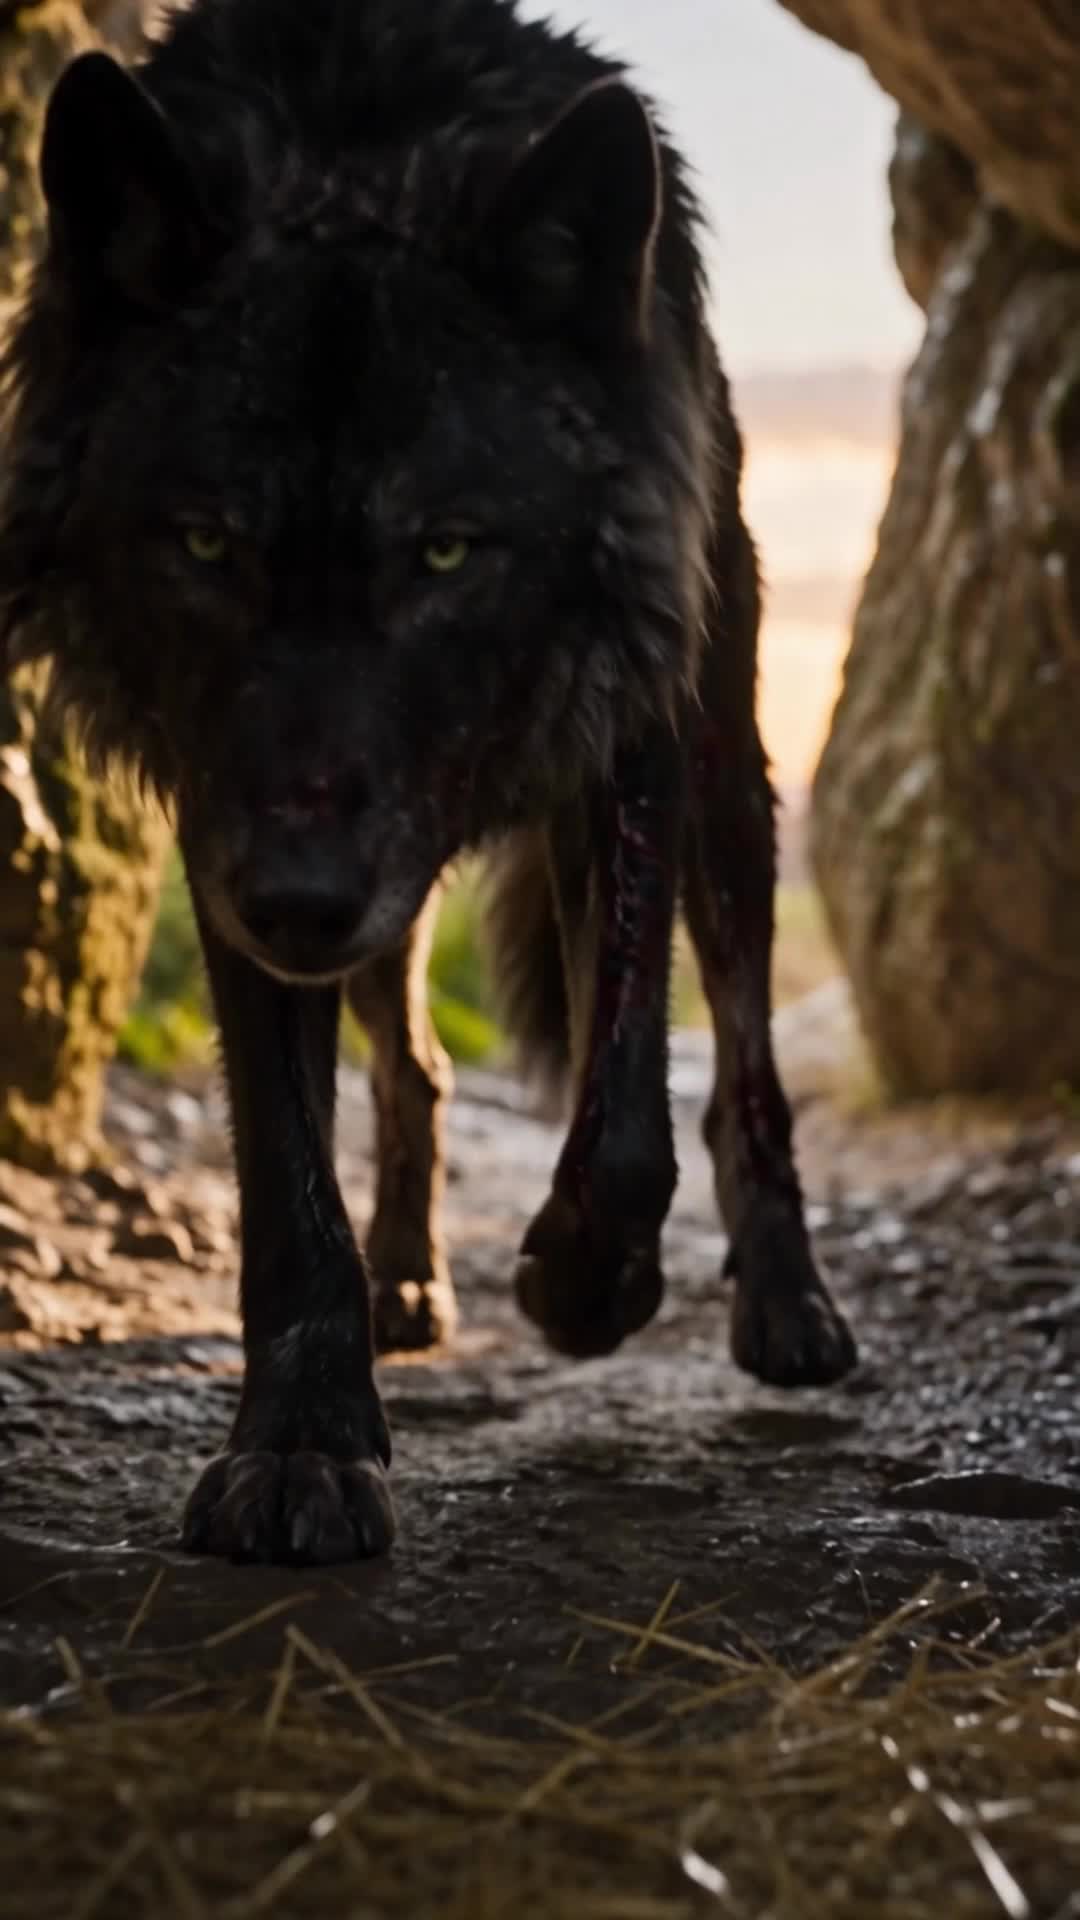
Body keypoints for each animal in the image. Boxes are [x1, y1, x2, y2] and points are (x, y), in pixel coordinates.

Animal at [0, 0, 856, 1563]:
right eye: (205, 543)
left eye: (448, 550)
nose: (300, 898)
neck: (359, 150)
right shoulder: (229, 814)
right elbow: (288, 1174)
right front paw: (304, 1441)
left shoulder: (625, 738)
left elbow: (630, 1110)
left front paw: (587, 1281)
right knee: (415, 1063)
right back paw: (408, 1275)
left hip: (729, 778)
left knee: (742, 1067)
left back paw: (786, 1304)